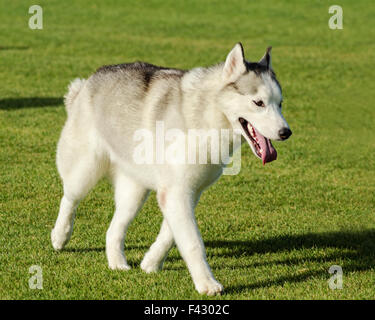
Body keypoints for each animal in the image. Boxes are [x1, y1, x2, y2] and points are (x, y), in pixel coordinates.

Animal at [52, 42, 294, 296]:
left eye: (280, 104)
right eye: (258, 103)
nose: (286, 132)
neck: (207, 116)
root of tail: (88, 81)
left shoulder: (187, 192)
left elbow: (170, 235)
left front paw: (151, 262)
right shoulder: (177, 192)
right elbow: (193, 242)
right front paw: (206, 283)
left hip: (135, 191)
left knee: (114, 228)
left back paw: (117, 263)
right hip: (84, 172)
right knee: (69, 199)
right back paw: (60, 236)